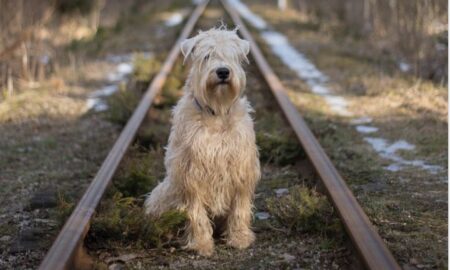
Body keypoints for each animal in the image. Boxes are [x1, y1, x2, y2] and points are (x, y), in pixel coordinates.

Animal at [144, 26, 260, 256]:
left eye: (232, 55)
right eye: (207, 56)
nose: (223, 72)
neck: (217, 112)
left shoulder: (241, 169)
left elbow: (240, 208)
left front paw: (239, 238)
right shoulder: (190, 173)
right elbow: (196, 214)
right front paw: (201, 244)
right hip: (163, 193)